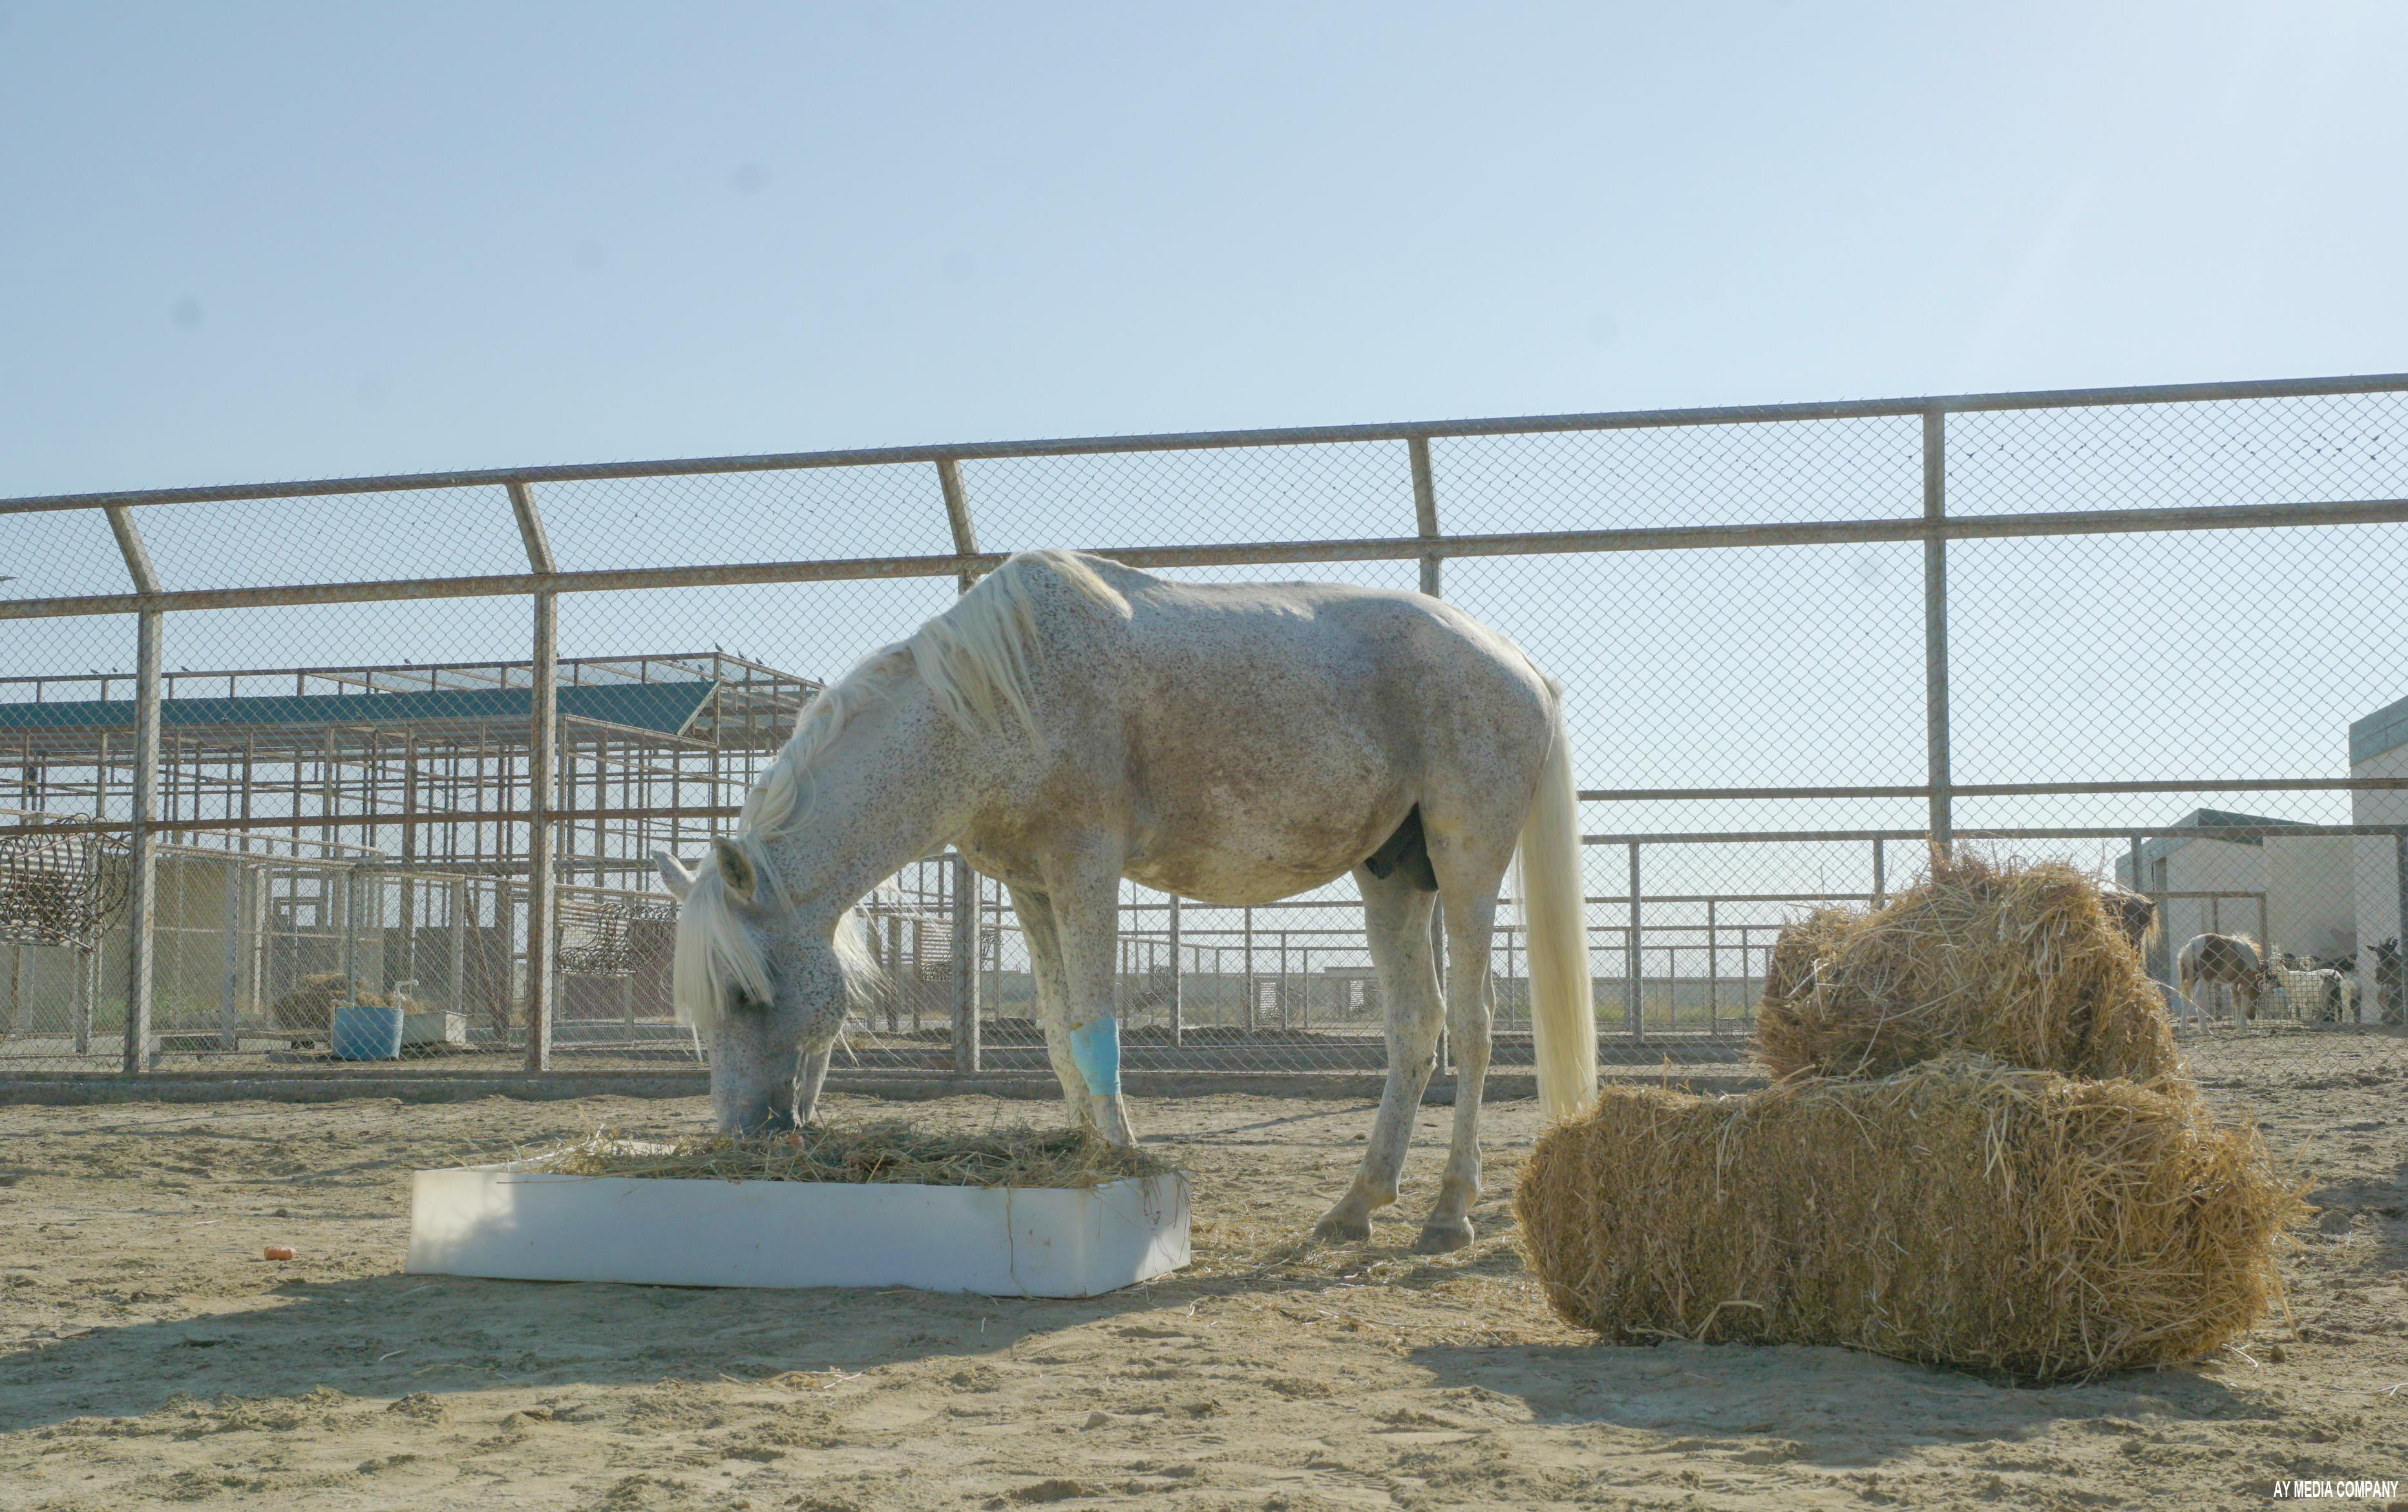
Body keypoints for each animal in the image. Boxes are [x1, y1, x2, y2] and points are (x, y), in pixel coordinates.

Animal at [655, 549, 1599, 1242]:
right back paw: (1357, 1205)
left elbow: (1093, 1024)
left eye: (746, 991)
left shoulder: (1086, 869)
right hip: (1393, 877)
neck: (989, 702)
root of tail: (1521, 667)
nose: (741, 1135)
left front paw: (1119, 1160)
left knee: (1472, 1027)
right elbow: (1055, 1035)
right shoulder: (1031, 887)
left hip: (1466, 862)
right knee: (1414, 1026)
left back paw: (1448, 1212)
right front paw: (1084, 1147)